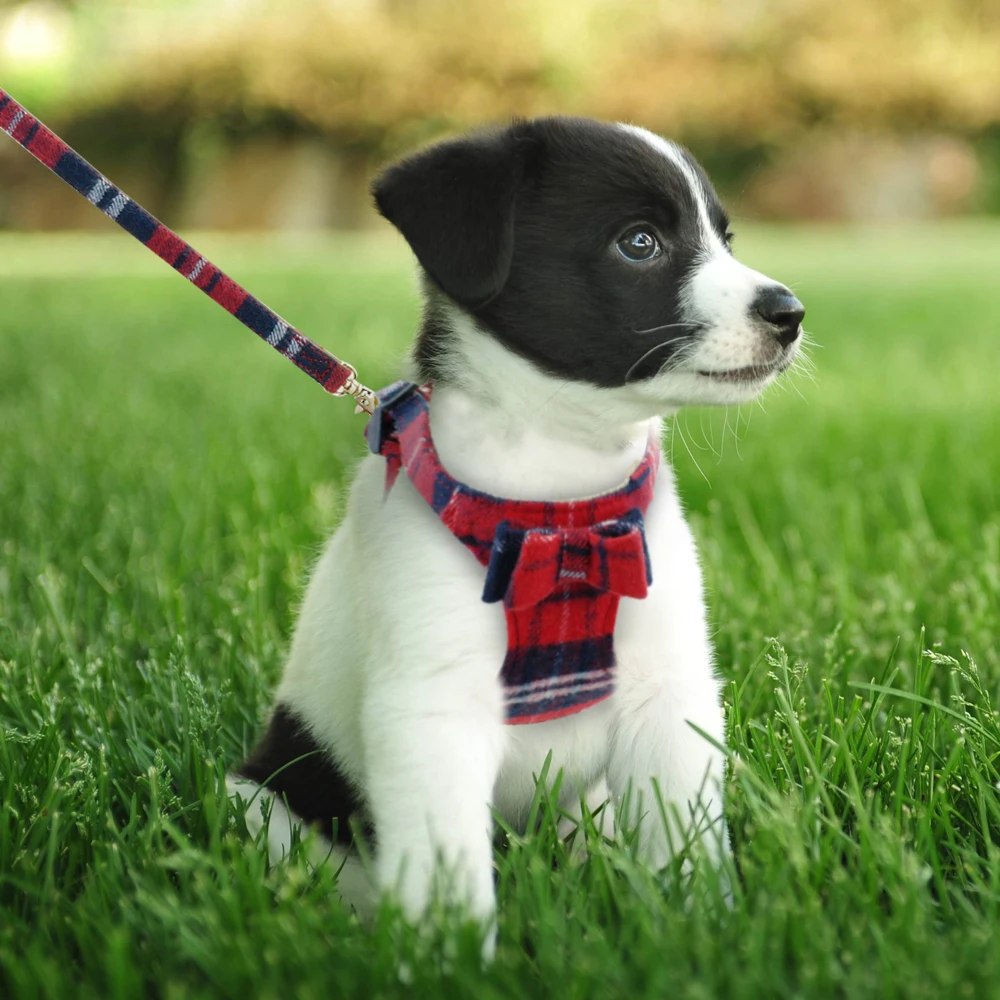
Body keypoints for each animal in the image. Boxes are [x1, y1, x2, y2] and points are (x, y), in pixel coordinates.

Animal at [227, 113, 804, 948]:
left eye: (724, 238)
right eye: (640, 242)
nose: (789, 314)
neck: (559, 501)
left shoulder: (667, 691)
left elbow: (686, 840)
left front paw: (700, 933)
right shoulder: (432, 710)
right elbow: (447, 875)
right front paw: (452, 957)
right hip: (265, 801)